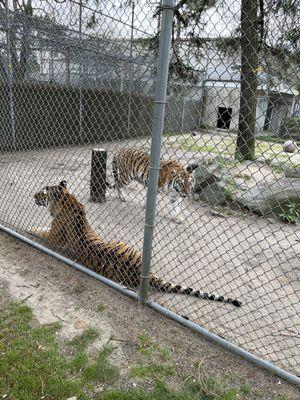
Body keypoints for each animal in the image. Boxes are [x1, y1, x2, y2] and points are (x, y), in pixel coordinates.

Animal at [30, 181, 241, 310]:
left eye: (42, 192)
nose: (33, 195)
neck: (67, 199)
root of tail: (144, 272)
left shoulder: (53, 237)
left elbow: (40, 230)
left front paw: (31, 227)